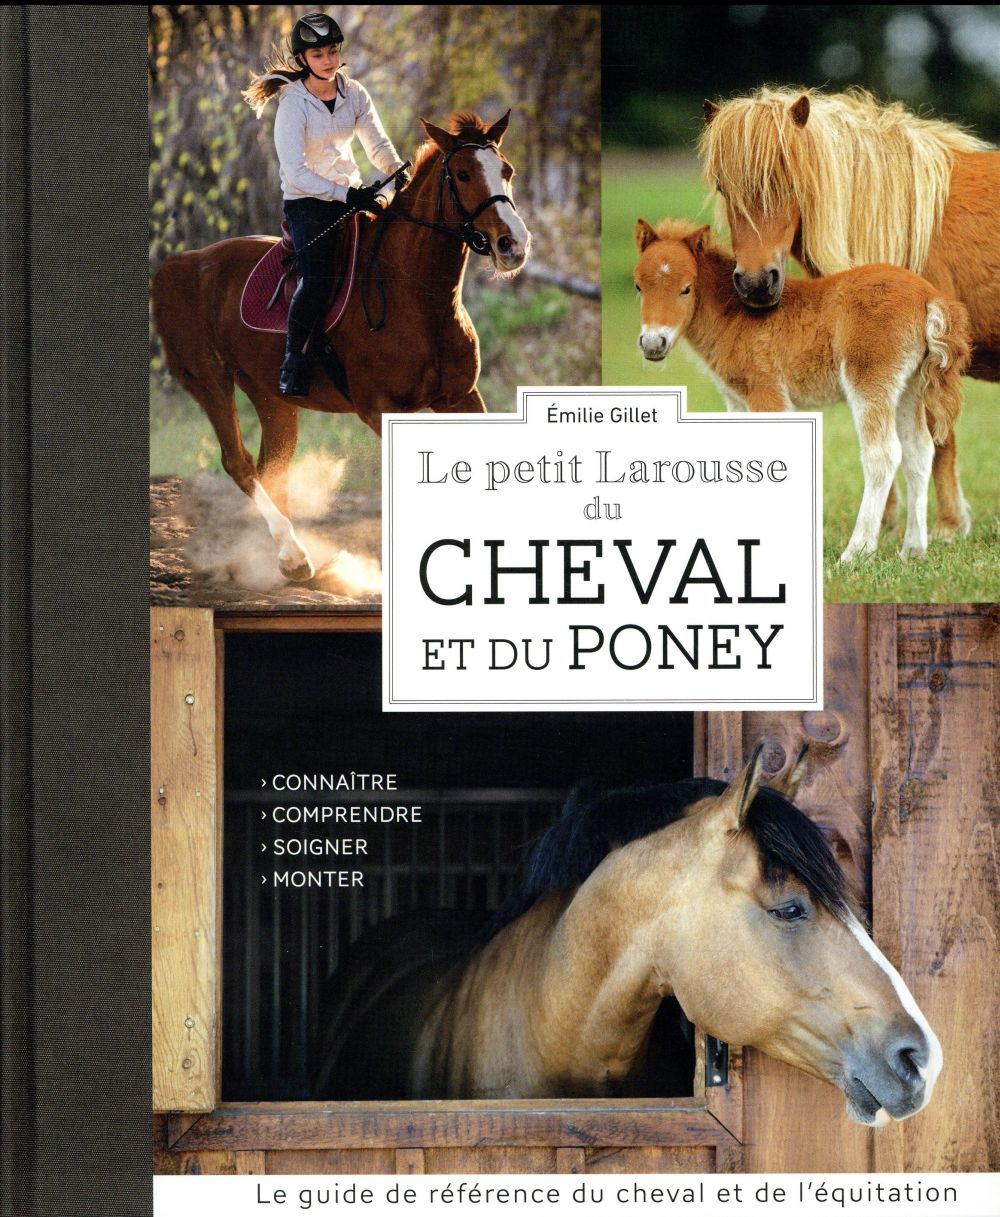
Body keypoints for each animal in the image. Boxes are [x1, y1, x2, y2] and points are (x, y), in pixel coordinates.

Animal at [152, 111, 530, 581]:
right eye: (462, 174)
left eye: (506, 171)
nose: (513, 244)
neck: (416, 296)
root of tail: (174, 267)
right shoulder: (381, 409)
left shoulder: (460, 398)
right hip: (208, 381)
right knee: (238, 462)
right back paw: (295, 556)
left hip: (271, 396)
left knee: (272, 467)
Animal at [633, 217, 971, 562]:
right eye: (639, 287)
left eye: (686, 288)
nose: (653, 343)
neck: (734, 314)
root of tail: (928, 296)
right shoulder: (736, 400)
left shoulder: (767, 393)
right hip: (909, 387)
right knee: (919, 450)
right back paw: (913, 550)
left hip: (869, 380)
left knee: (883, 454)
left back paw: (856, 552)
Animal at [699, 87, 1000, 540]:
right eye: (722, 187)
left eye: (791, 181)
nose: (755, 283)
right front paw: (892, 523)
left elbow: (939, 442)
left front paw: (947, 526)